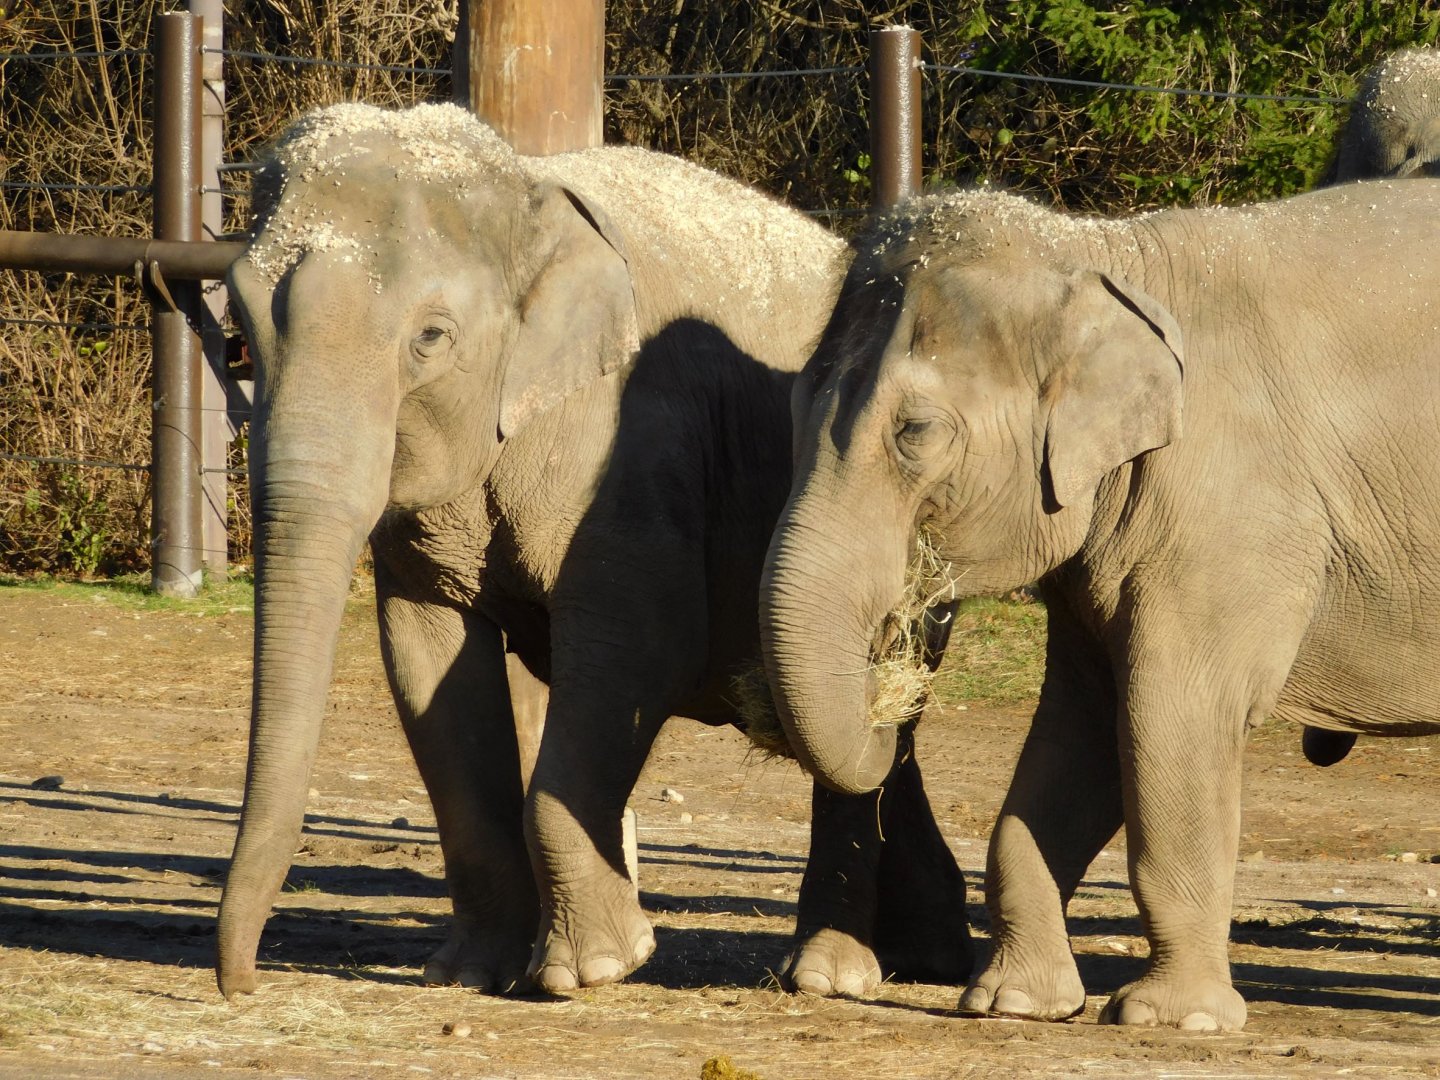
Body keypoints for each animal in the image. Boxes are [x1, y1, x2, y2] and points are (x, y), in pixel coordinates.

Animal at [215, 102, 972, 1001]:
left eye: (430, 338)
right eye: (240, 322)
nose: (242, 983)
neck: (525, 189)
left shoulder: (631, 447)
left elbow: (636, 646)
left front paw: (595, 969)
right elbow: (427, 662)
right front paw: (467, 973)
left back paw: (828, 976)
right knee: (880, 739)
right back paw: (928, 955)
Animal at [759, 181, 1440, 1031]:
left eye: (914, 432)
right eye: (791, 403)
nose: (906, 641)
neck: (1103, 255)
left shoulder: (1231, 511)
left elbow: (1168, 715)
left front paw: (1173, 1019)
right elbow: (1078, 728)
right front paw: (1015, 1002)